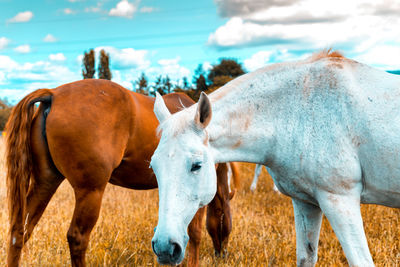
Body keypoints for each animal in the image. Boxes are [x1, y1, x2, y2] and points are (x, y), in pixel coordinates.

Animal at [4, 79, 239, 267]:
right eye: (224, 219)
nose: (223, 255)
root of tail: (54, 93)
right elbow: (195, 232)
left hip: (46, 182)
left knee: (19, 232)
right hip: (90, 191)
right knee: (77, 237)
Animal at [148, 51, 400, 266]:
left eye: (196, 165)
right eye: (154, 167)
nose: (164, 248)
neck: (300, 111)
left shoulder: (340, 199)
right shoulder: (306, 202)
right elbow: (306, 258)